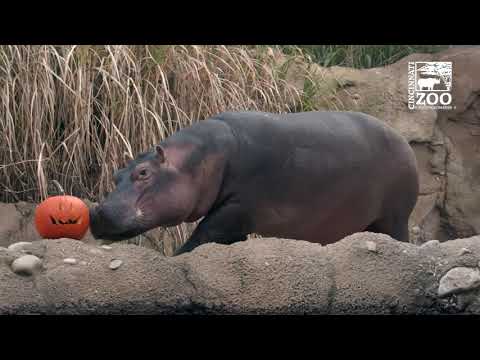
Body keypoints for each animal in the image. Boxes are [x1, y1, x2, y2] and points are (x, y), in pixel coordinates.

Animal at [89, 111, 416, 255]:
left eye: (144, 173)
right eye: (117, 174)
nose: (97, 211)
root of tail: (402, 139)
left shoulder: (239, 206)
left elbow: (205, 231)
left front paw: (177, 255)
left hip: (395, 216)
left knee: (400, 236)